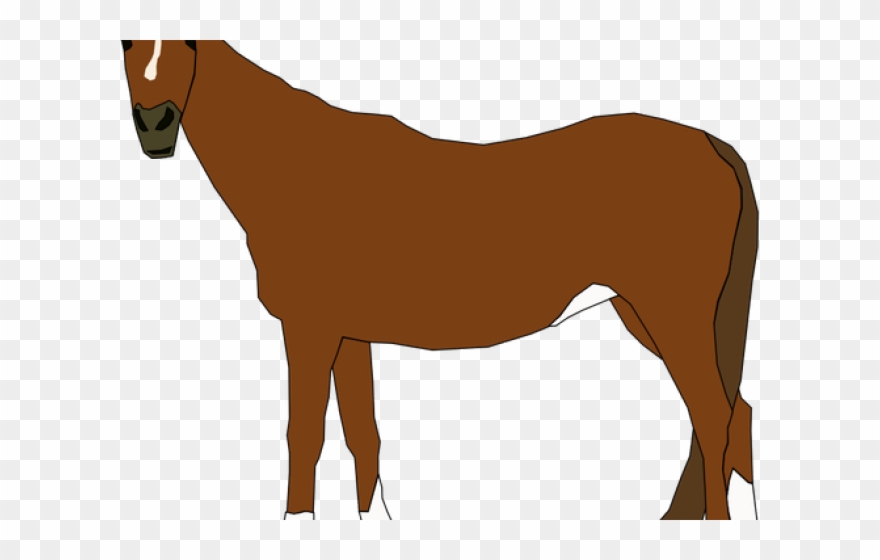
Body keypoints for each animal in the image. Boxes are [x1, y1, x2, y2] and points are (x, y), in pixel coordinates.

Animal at [120, 40, 759, 520]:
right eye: (127, 41)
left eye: (189, 44)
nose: (155, 126)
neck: (297, 169)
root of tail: (712, 145)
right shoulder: (349, 334)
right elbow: (363, 437)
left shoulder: (310, 329)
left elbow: (305, 435)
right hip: (647, 314)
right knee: (736, 413)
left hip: (671, 313)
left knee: (714, 417)